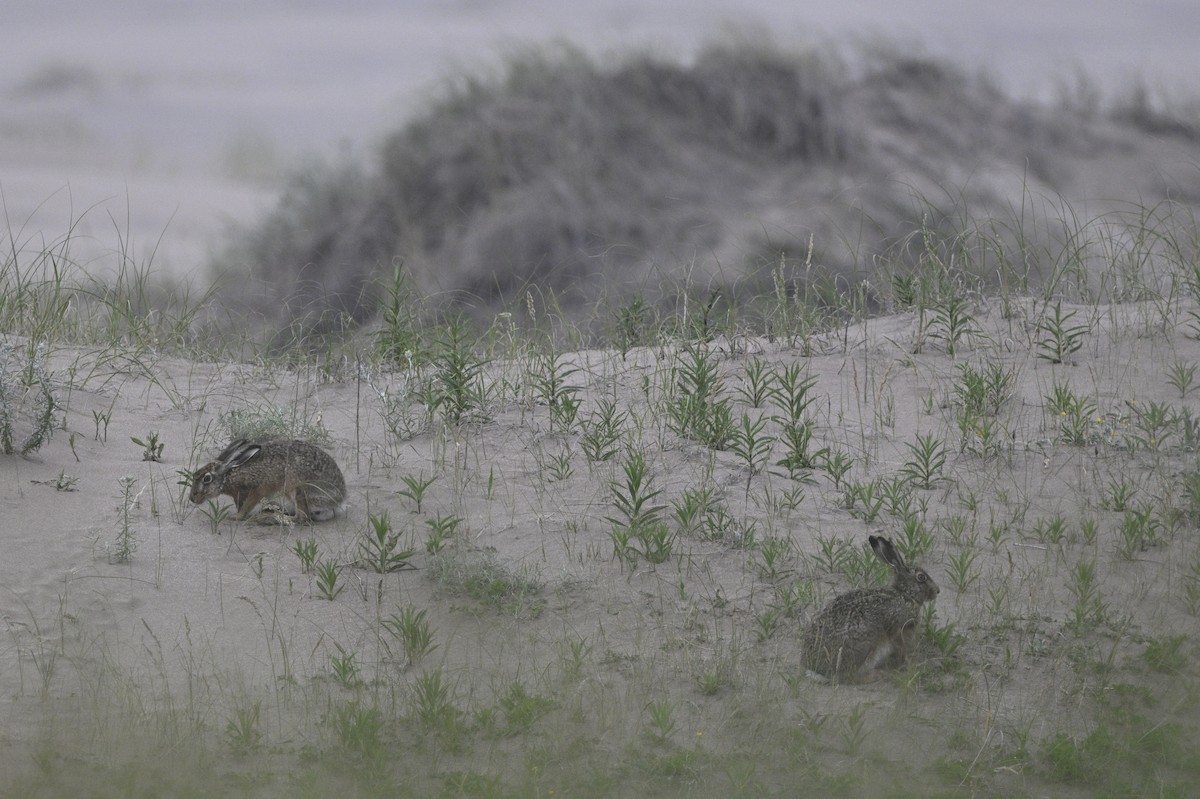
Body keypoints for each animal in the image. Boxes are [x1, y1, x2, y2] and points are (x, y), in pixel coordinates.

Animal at [189, 438, 347, 523]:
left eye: (206, 478)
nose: (192, 498)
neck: (229, 474)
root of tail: (339, 500)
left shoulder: (258, 489)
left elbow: (247, 505)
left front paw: (236, 517)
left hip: (297, 490)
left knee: (302, 517)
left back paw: (273, 517)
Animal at [801, 535, 939, 683]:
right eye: (921, 577)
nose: (937, 591)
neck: (904, 594)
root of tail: (816, 670)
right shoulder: (897, 628)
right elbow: (901, 648)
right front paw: (908, 665)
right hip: (864, 648)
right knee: (849, 677)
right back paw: (878, 674)